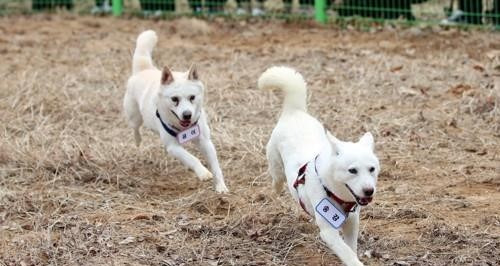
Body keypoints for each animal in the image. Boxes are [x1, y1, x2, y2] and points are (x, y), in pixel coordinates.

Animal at [123, 30, 229, 193]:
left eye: (192, 97)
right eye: (174, 99)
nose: (187, 115)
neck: (184, 128)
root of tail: (145, 69)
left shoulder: (205, 141)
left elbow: (216, 166)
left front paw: (221, 186)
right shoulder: (173, 147)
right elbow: (192, 158)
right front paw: (203, 173)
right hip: (134, 116)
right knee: (135, 128)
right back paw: (138, 141)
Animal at [260, 66, 380, 266]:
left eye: (372, 169)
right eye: (352, 170)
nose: (369, 191)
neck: (336, 193)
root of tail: (294, 112)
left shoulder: (352, 223)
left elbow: (351, 248)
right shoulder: (329, 231)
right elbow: (346, 252)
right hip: (275, 165)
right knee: (276, 179)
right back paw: (275, 191)